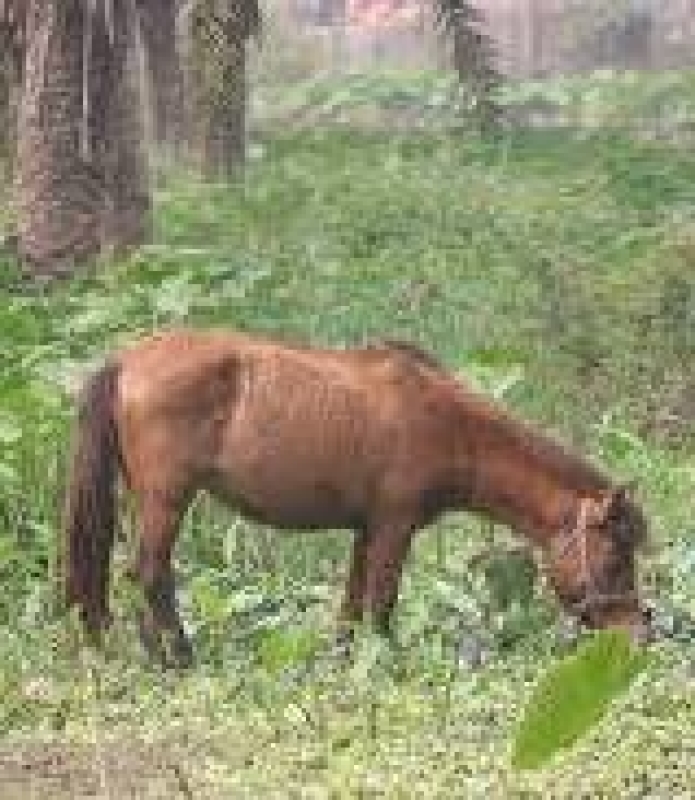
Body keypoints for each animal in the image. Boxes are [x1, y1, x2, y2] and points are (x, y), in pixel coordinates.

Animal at [63, 329, 652, 667]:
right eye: (614, 559)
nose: (641, 632)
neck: (449, 425)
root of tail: (128, 360)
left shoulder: (366, 530)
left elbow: (350, 607)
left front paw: (345, 663)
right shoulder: (394, 526)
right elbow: (382, 602)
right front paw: (385, 663)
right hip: (167, 500)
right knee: (151, 572)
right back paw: (181, 658)